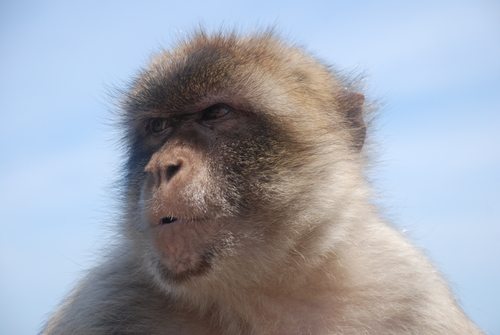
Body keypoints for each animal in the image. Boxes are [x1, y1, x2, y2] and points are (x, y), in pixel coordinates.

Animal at [40, 30, 484, 334]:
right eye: (158, 127)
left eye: (216, 113)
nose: (161, 167)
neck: (260, 292)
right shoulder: (102, 301)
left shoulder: (410, 293)